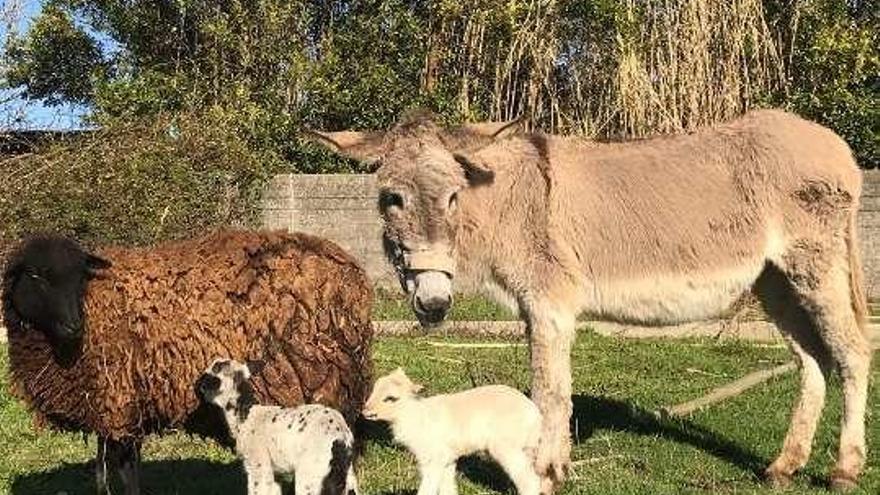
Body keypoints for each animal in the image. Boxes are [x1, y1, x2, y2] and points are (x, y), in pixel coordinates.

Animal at [198, 358, 360, 495]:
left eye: (215, 370)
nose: (200, 386)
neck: (246, 416)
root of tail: (341, 437)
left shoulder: (258, 463)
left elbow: (258, 490)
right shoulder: (272, 470)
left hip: (310, 473)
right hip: (345, 475)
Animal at [362, 368, 544, 495]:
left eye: (391, 398)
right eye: (373, 389)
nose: (365, 411)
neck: (417, 416)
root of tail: (534, 414)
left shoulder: (433, 458)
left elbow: (428, 489)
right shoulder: (447, 459)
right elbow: (447, 488)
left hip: (506, 447)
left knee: (529, 481)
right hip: (526, 448)